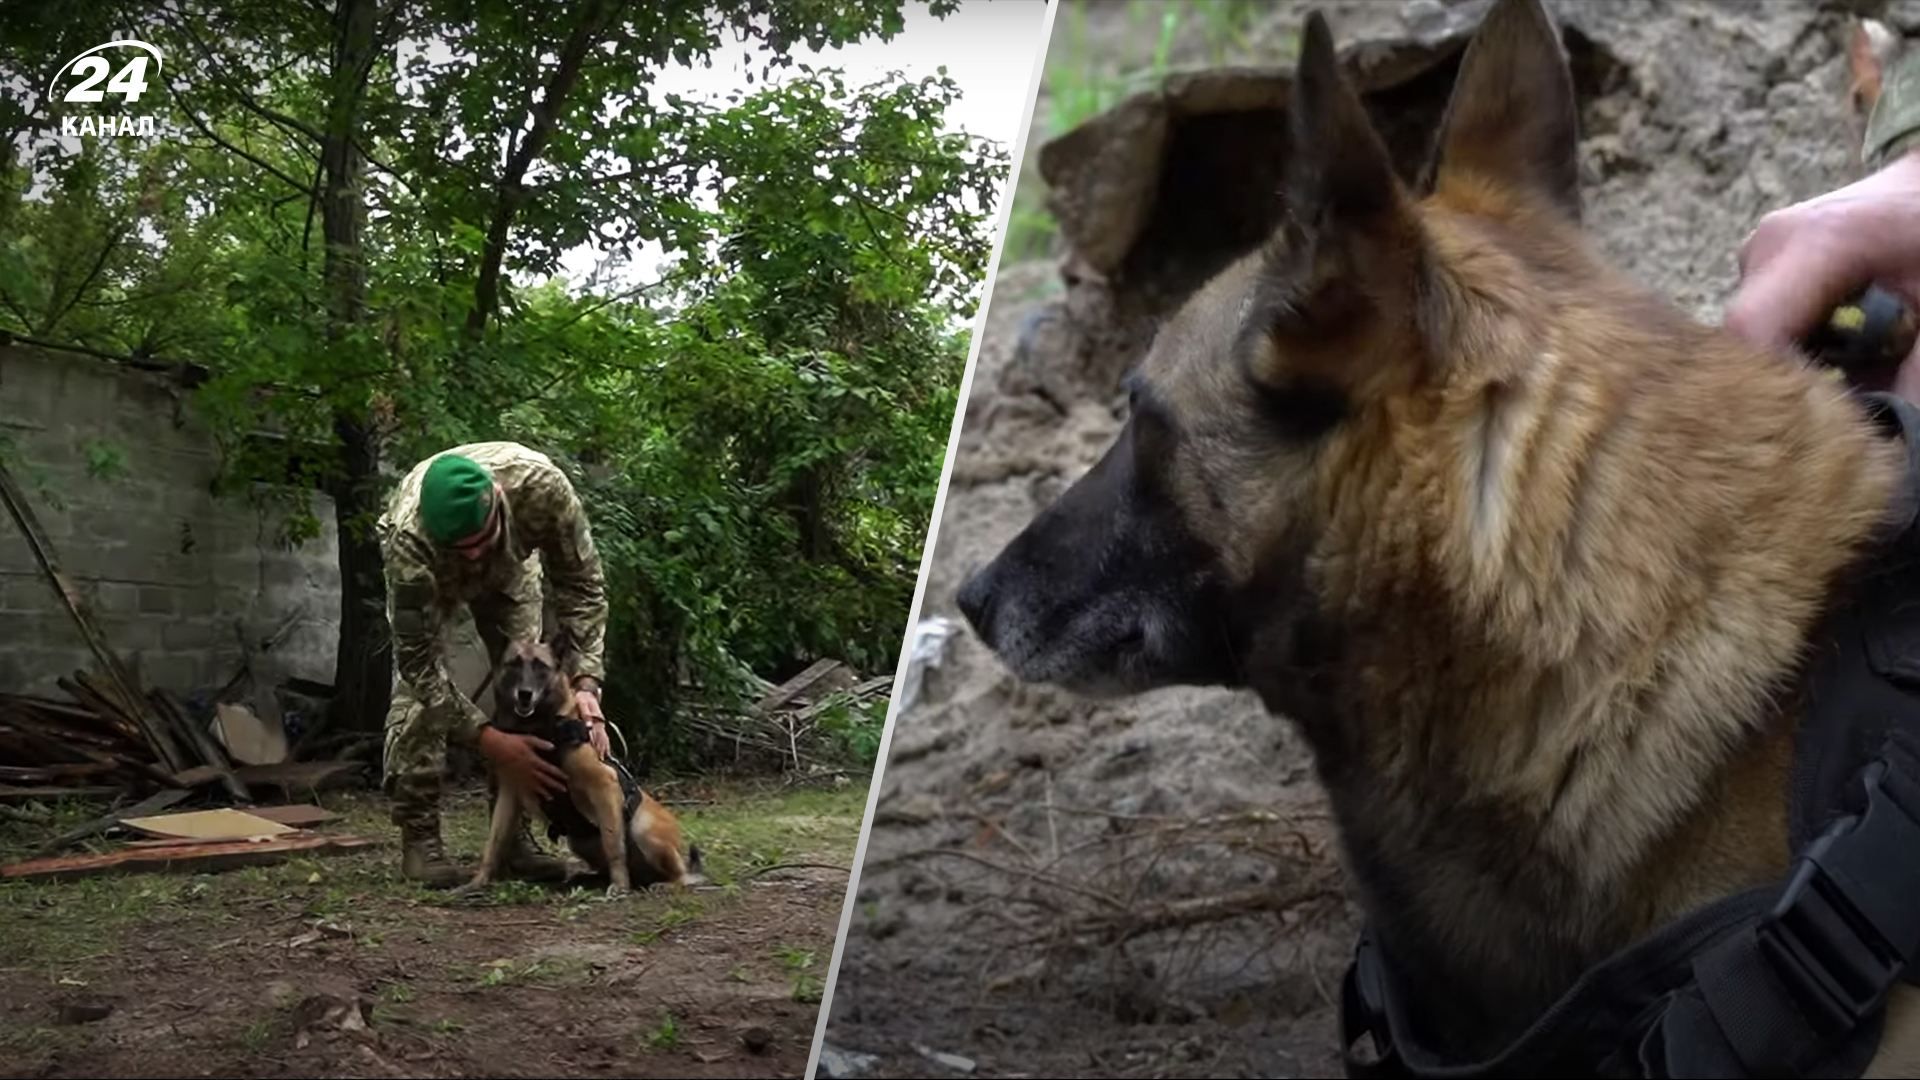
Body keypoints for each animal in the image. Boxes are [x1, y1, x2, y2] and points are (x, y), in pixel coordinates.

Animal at [460, 634, 702, 895]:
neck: (541, 728)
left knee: (683, 876)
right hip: (580, 842)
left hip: (642, 829)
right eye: (513, 664)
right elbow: (494, 842)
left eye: (541, 667)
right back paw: (590, 878)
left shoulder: (604, 785)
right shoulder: (509, 795)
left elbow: (614, 845)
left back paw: (663, 883)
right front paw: (478, 881)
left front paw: (619, 885)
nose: (524, 694)